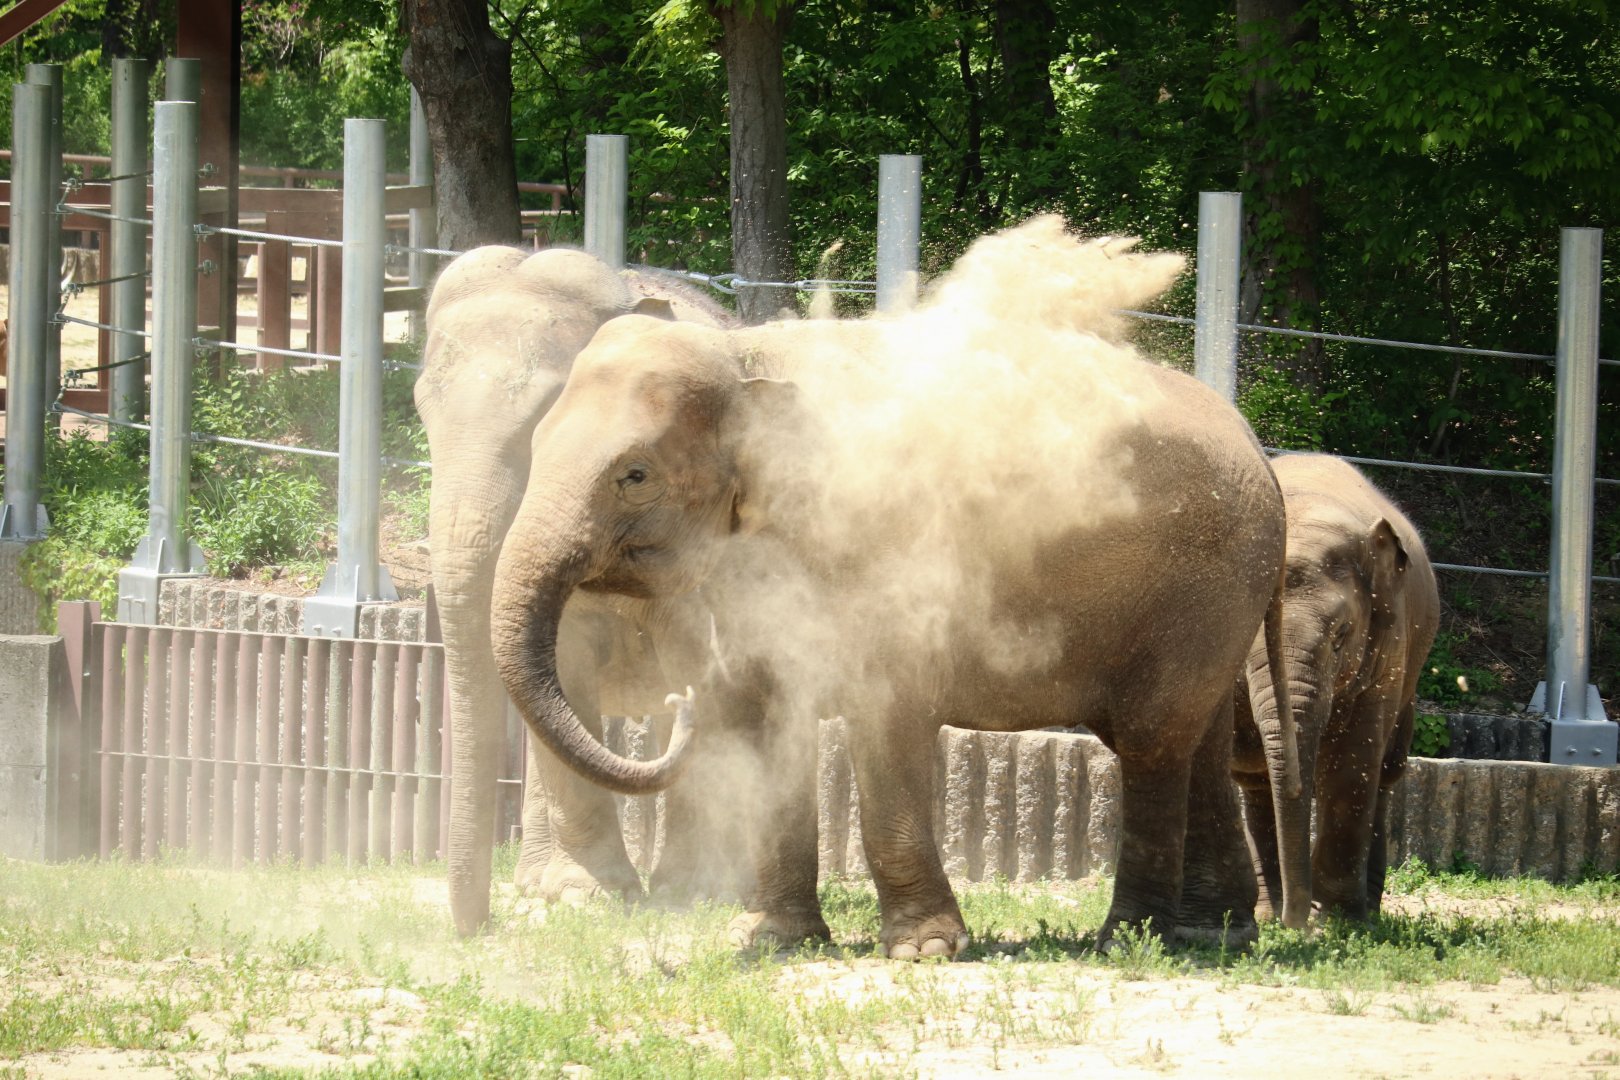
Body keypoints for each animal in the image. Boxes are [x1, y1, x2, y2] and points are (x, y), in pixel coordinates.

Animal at [415, 245, 747, 937]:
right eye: (420, 409)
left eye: (540, 419)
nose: (477, 929)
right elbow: (562, 665)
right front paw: (583, 896)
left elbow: (692, 658)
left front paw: (690, 892)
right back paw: (537, 886)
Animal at [486, 219, 1295, 958]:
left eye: (635, 475)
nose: (675, 706)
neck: (744, 356)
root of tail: (1260, 449)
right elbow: (763, 718)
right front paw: (772, 940)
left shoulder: (884, 551)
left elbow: (884, 713)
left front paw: (924, 952)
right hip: (1215, 596)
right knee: (1198, 737)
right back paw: (1213, 935)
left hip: (1208, 585)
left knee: (1153, 737)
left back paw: (1127, 940)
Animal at [1232, 452, 1439, 927]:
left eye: (1342, 634)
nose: (1297, 919)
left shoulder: (1389, 640)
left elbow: (1351, 762)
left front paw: (1337, 919)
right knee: (1254, 777)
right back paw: (1269, 912)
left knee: (1386, 770)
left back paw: (1366, 911)